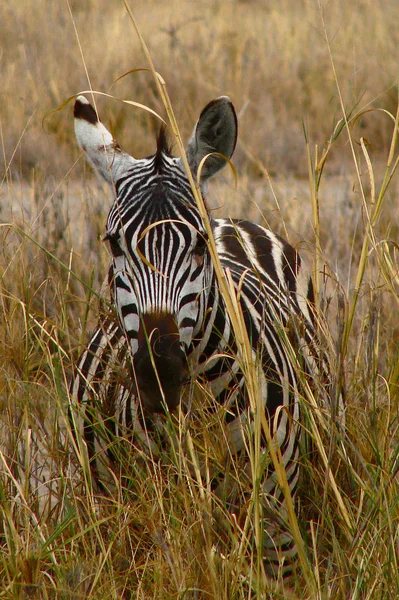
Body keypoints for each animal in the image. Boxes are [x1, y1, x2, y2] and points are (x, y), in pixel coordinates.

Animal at [68, 94, 340, 576]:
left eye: (199, 245)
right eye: (113, 243)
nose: (159, 376)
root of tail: (231, 220)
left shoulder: (277, 512)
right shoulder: (145, 517)